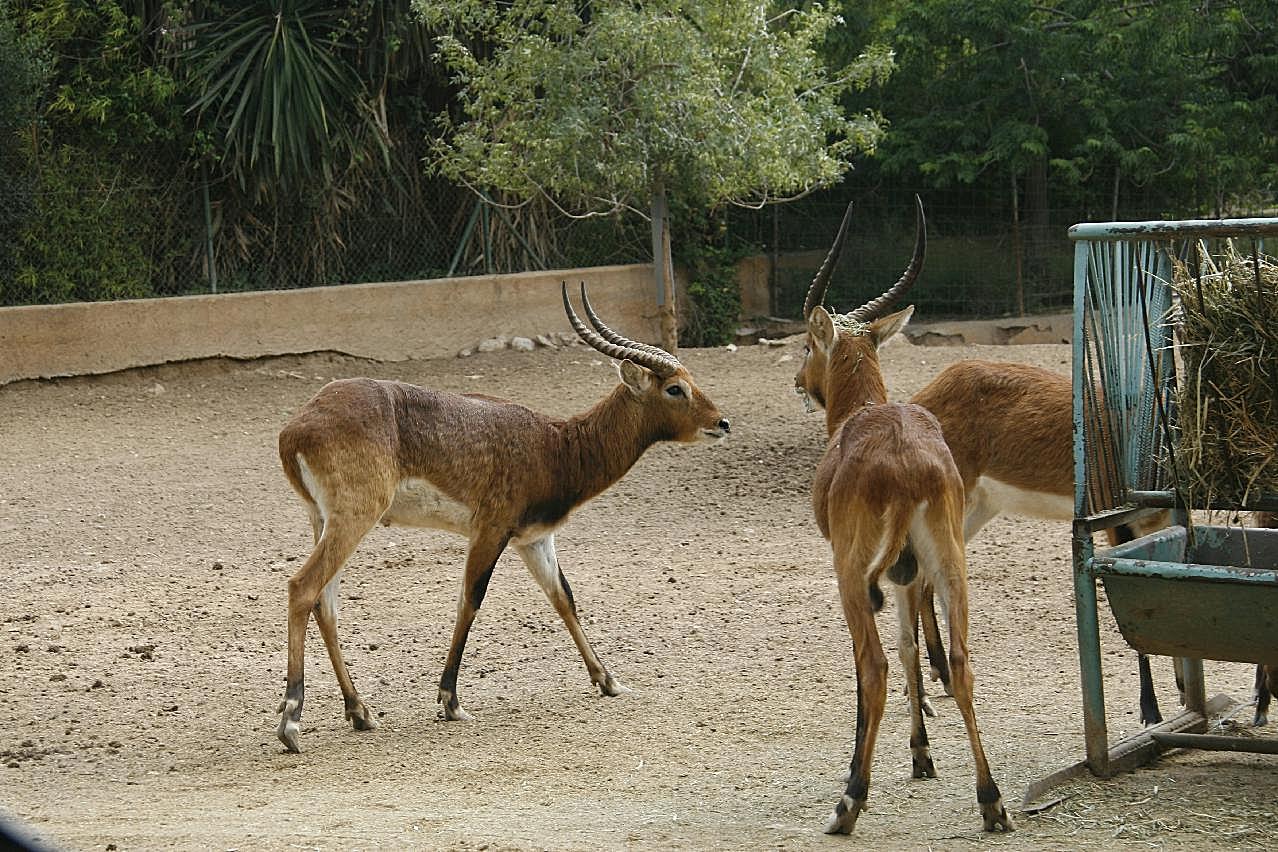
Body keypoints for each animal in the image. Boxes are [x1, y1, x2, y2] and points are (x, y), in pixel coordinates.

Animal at [269, 286, 731, 751]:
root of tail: (296, 429)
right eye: (675, 388)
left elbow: (563, 597)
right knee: (302, 588)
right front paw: (450, 701)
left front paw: (609, 681)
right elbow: (470, 600)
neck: (556, 446)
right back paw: (291, 722)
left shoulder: (534, 539)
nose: (722, 422)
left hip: (323, 520)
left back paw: (360, 712)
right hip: (353, 519)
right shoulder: (490, 531)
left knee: (325, 604)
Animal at [792, 197, 1012, 832]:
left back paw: (848, 804)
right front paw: (921, 755)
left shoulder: (863, 575)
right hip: (950, 565)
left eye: (808, 345)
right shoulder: (908, 575)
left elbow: (876, 664)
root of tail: (909, 464)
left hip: (852, 575)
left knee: (874, 668)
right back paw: (992, 803)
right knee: (960, 663)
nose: (798, 381)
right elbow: (916, 648)